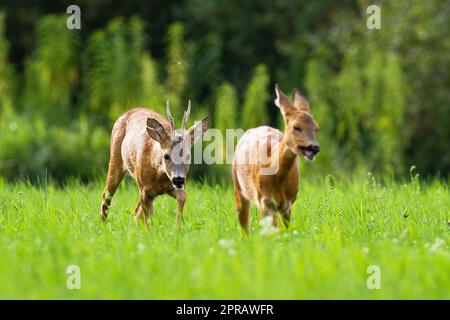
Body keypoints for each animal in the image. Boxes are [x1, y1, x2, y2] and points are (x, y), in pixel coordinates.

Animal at [232, 84, 320, 231]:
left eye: (316, 128)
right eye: (296, 127)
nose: (314, 147)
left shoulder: (288, 203)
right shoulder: (264, 200)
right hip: (238, 187)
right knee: (244, 225)